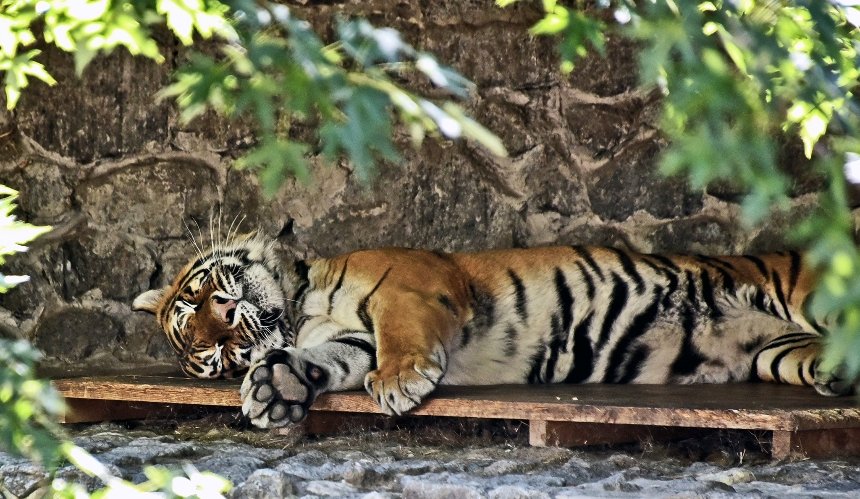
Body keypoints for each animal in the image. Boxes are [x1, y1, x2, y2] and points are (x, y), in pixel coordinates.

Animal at [132, 233, 853, 429]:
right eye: (214, 357)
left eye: (199, 298)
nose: (232, 333)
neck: (304, 304)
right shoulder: (346, 341)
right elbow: (324, 360)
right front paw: (272, 389)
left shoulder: (409, 286)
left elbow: (395, 335)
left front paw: (401, 381)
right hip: (778, 353)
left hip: (813, 295)